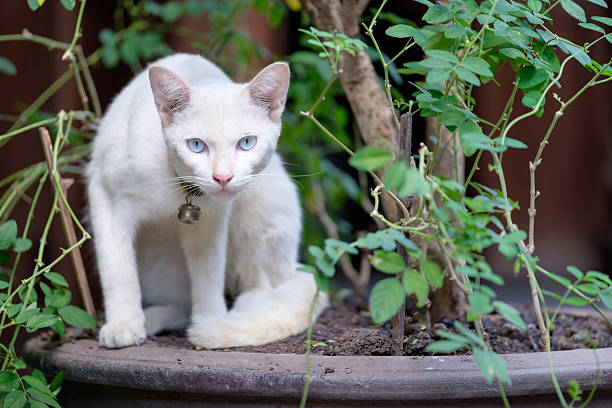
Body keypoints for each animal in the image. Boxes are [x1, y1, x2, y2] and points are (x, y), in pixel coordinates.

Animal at [88, 52, 328, 350]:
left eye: (246, 143)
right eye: (196, 145)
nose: (223, 177)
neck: (176, 182)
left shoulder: (212, 223)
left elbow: (208, 275)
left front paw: (211, 321)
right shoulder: (106, 196)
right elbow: (118, 270)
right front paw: (124, 324)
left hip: (264, 206)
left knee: (263, 283)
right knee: (179, 304)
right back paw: (151, 319)